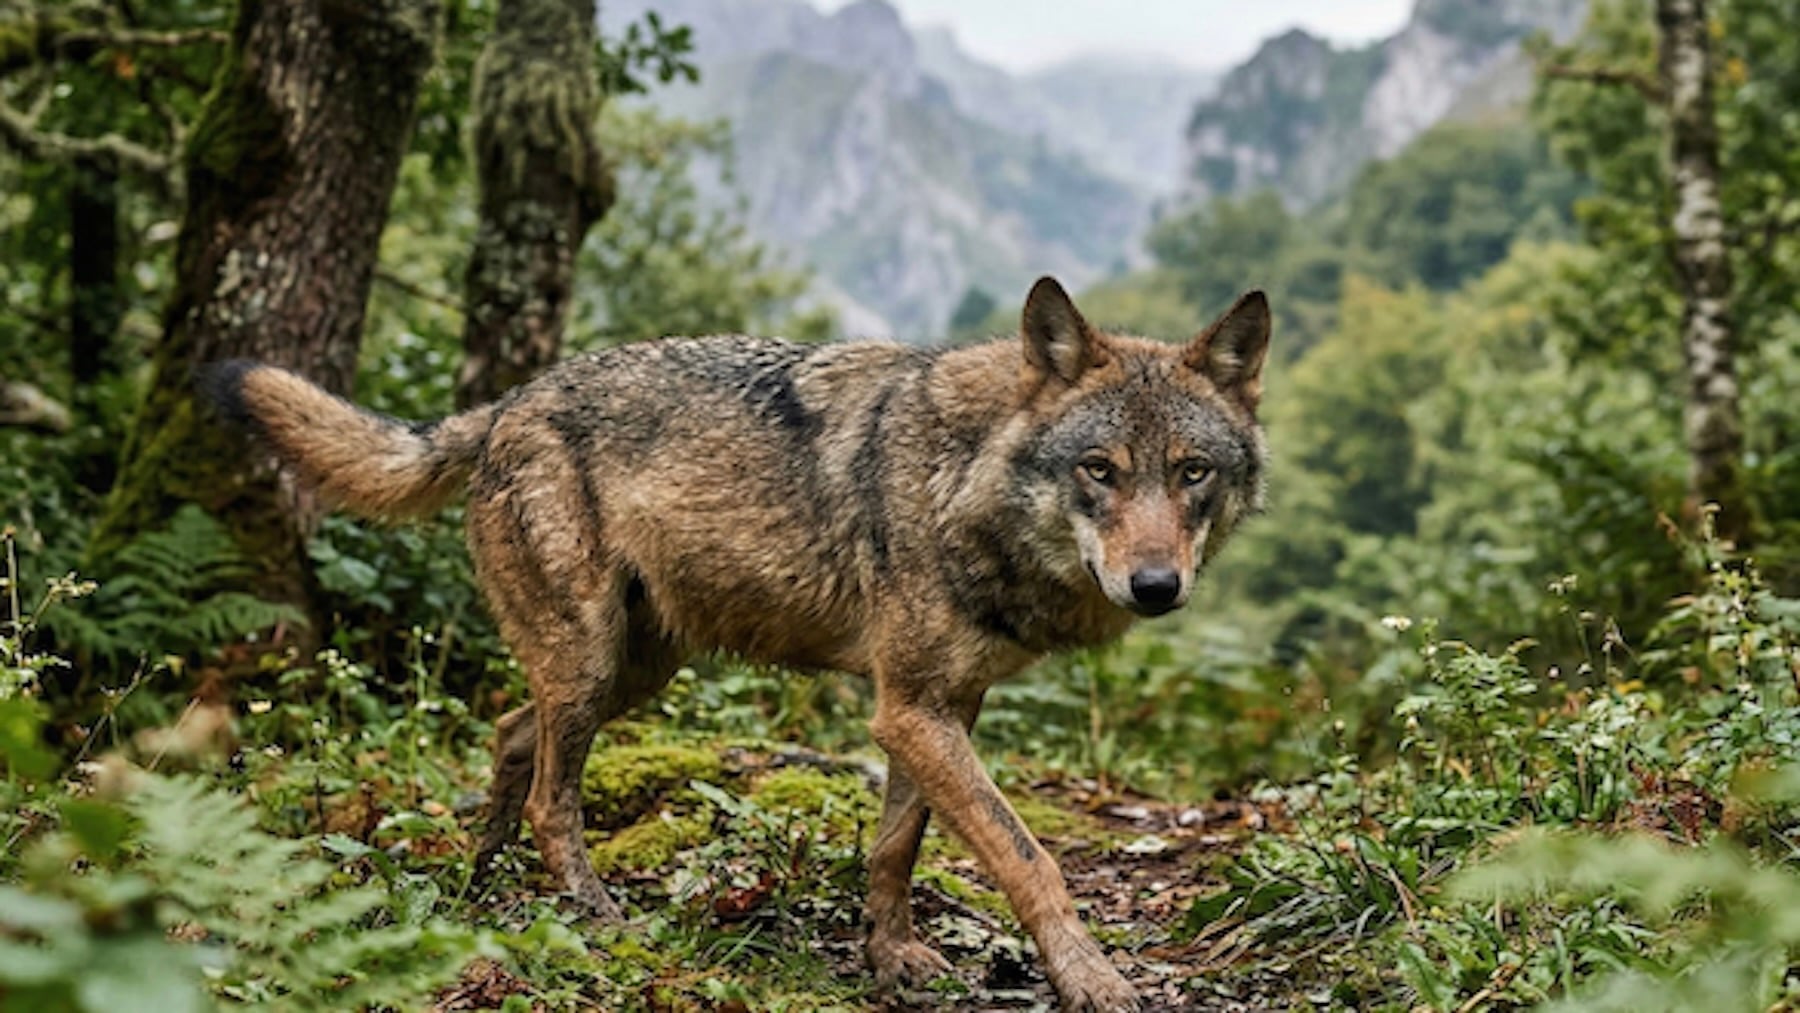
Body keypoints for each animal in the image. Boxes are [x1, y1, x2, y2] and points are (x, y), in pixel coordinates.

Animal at [202, 277, 1270, 1011]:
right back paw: (592, 914)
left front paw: (889, 957)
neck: (963, 478)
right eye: (1099, 469)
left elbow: (896, 847)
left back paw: (480, 880)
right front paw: (1090, 977)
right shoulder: (910, 711)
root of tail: (509, 403)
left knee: (510, 736)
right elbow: (1027, 856)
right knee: (552, 794)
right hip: (594, 664)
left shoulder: (934, 710)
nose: (1157, 586)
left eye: (1193, 472)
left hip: (632, 669)